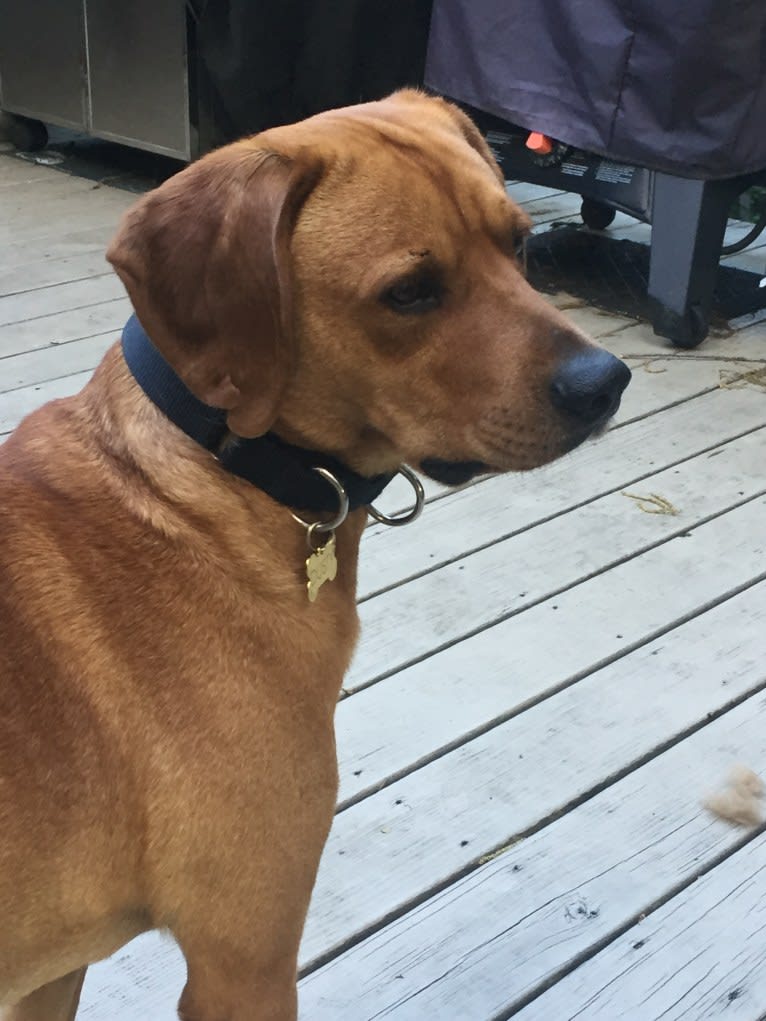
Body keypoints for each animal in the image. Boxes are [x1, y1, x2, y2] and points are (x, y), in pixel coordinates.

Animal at [0, 89, 629, 1021]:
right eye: (409, 292)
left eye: (519, 243)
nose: (606, 383)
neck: (208, 483)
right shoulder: (243, 963)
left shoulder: (50, 971)